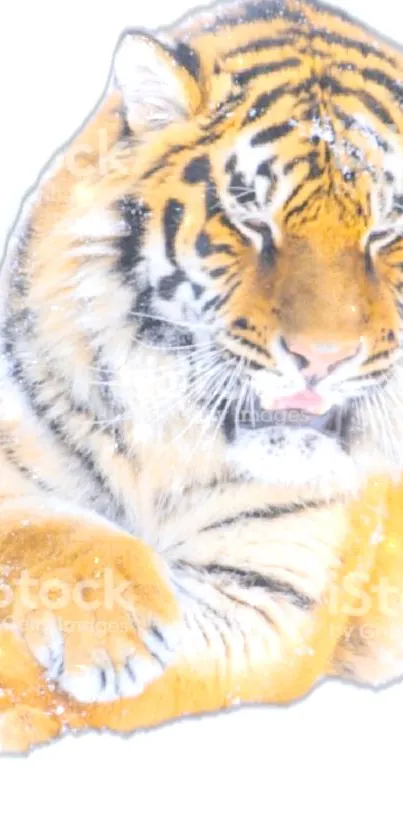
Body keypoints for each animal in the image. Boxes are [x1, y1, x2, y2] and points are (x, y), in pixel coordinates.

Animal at [1, 0, 403, 756]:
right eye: (251, 221)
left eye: (385, 234)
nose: (321, 357)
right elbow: (36, 521)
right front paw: (115, 618)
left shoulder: (268, 602)